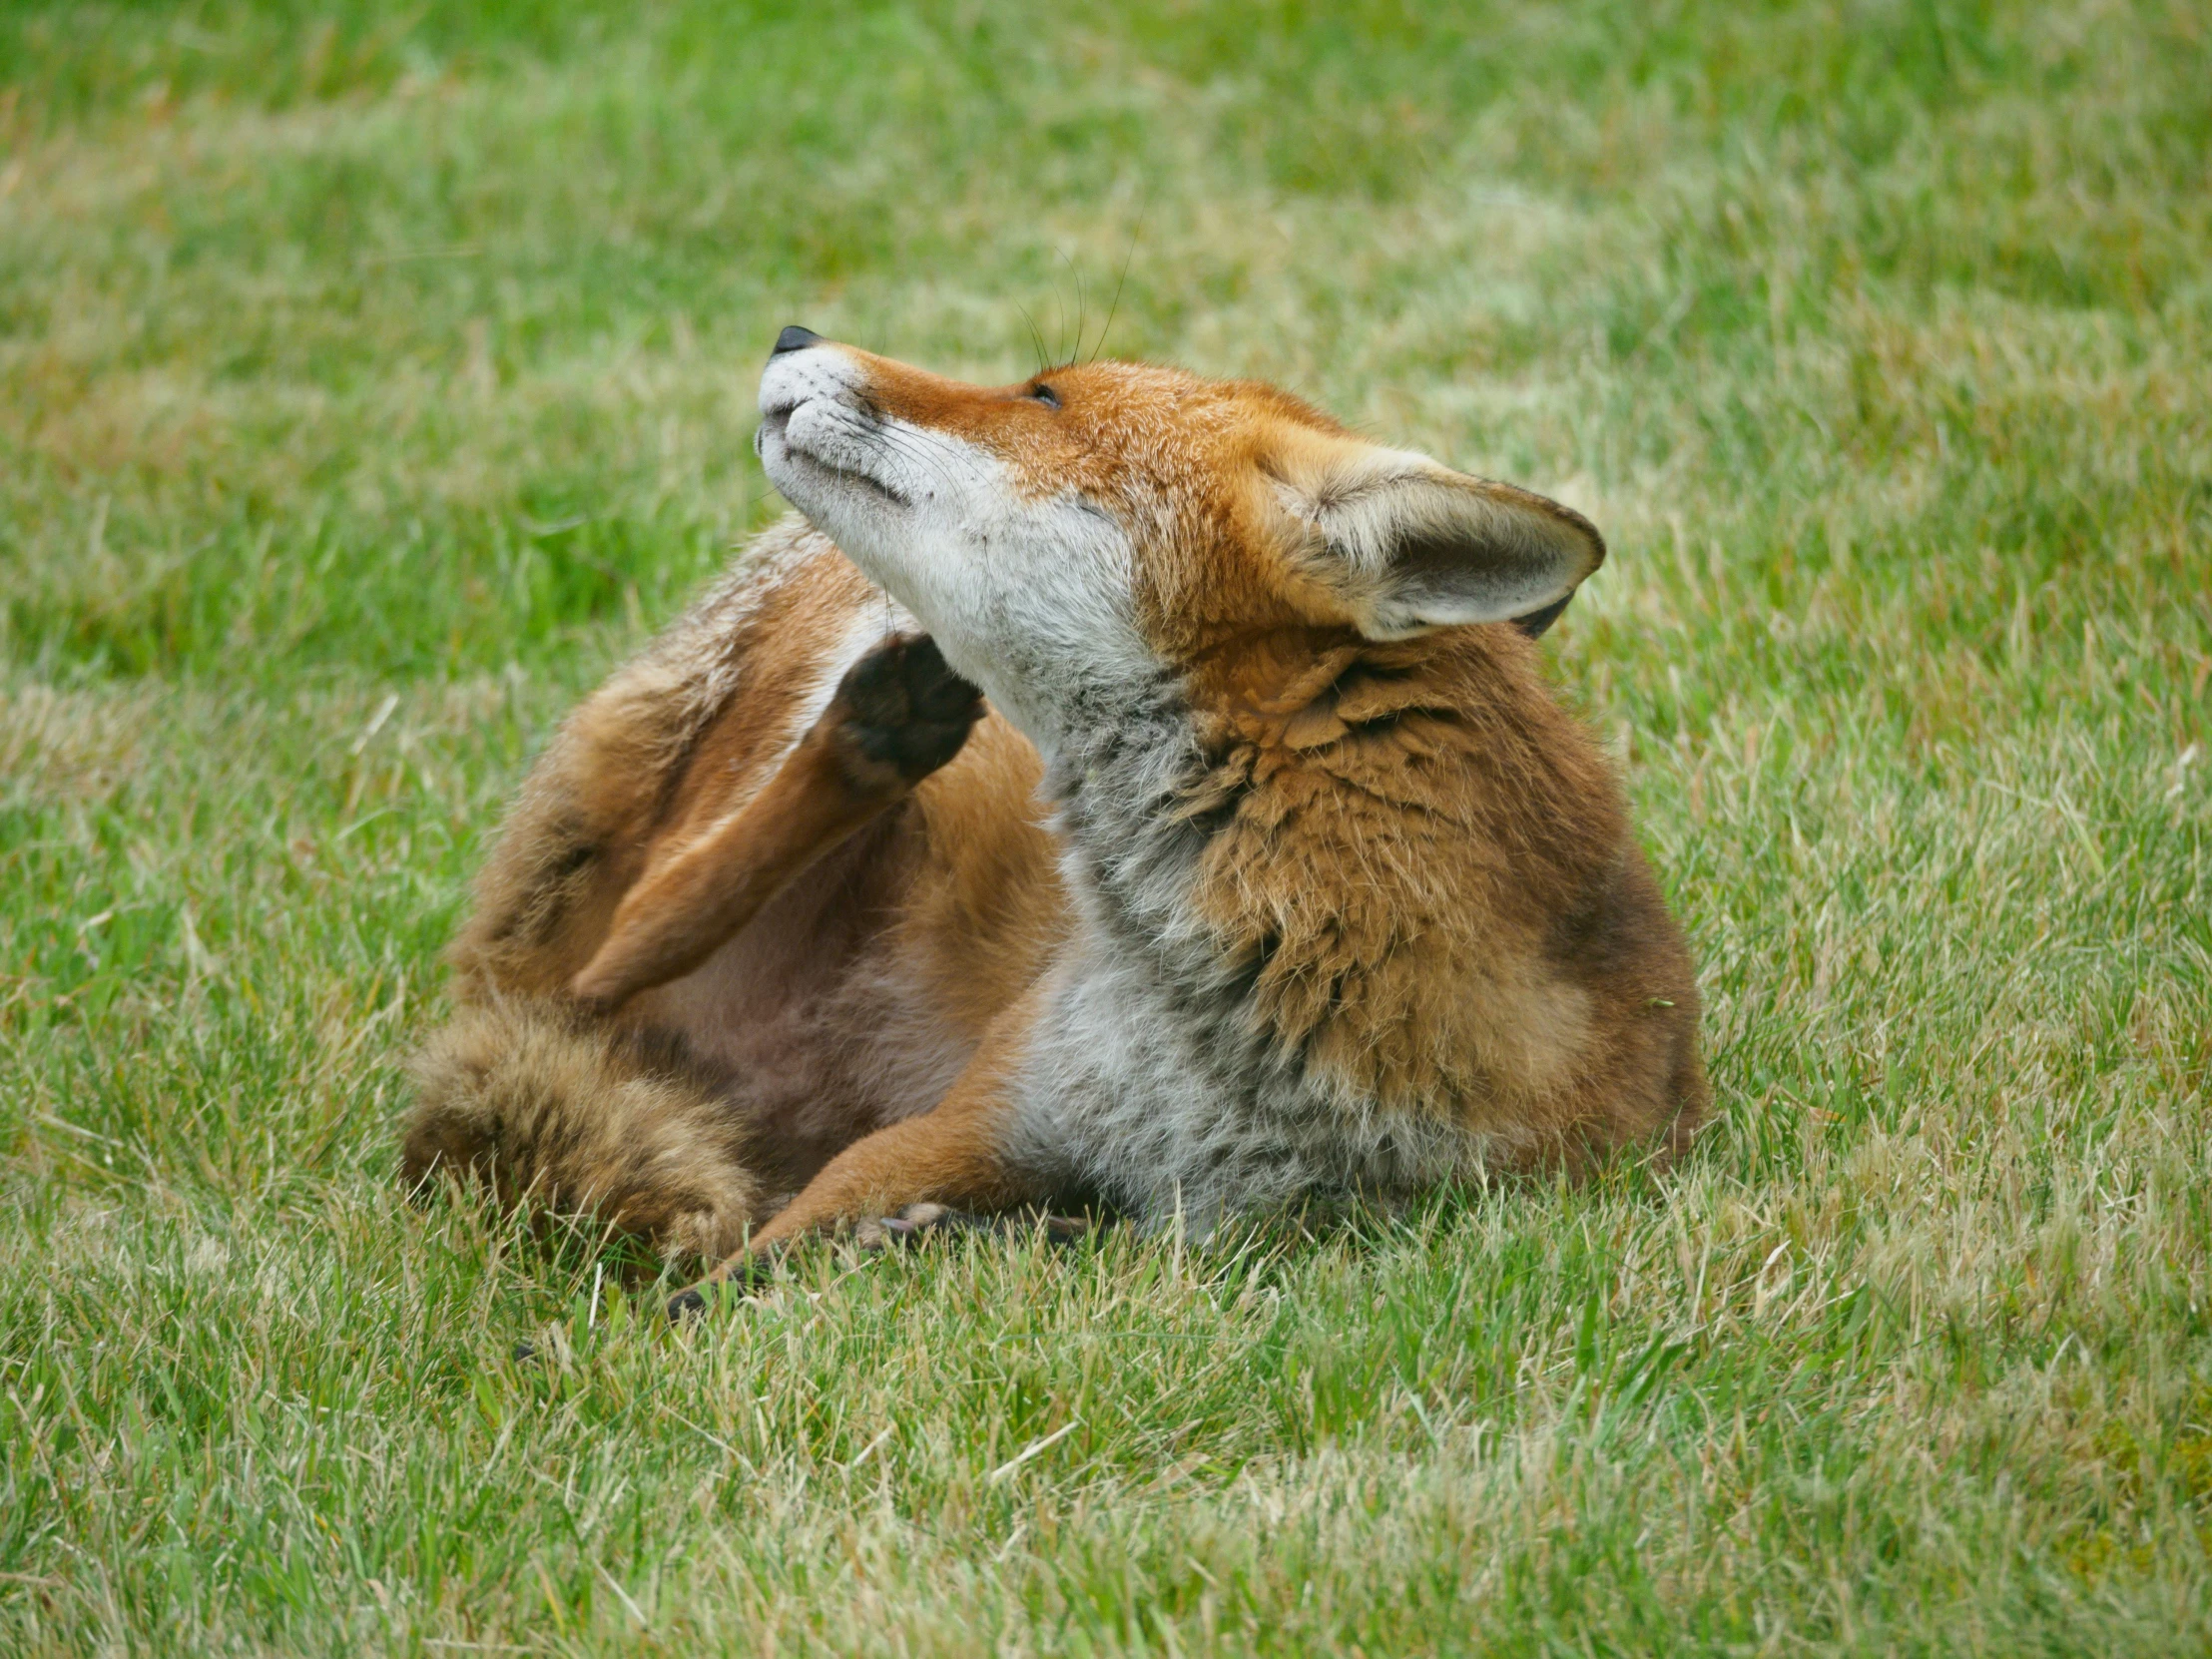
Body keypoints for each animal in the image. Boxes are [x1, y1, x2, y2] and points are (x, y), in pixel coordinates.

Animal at [402, 324, 1707, 1309]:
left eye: (1038, 397)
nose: (790, 333)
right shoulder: (960, 1123)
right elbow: (728, 1284)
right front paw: (640, 1335)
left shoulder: (1275, 1235)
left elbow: (1102, 1239)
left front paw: (962, 1244)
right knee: (605, 955)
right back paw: (872, 736)